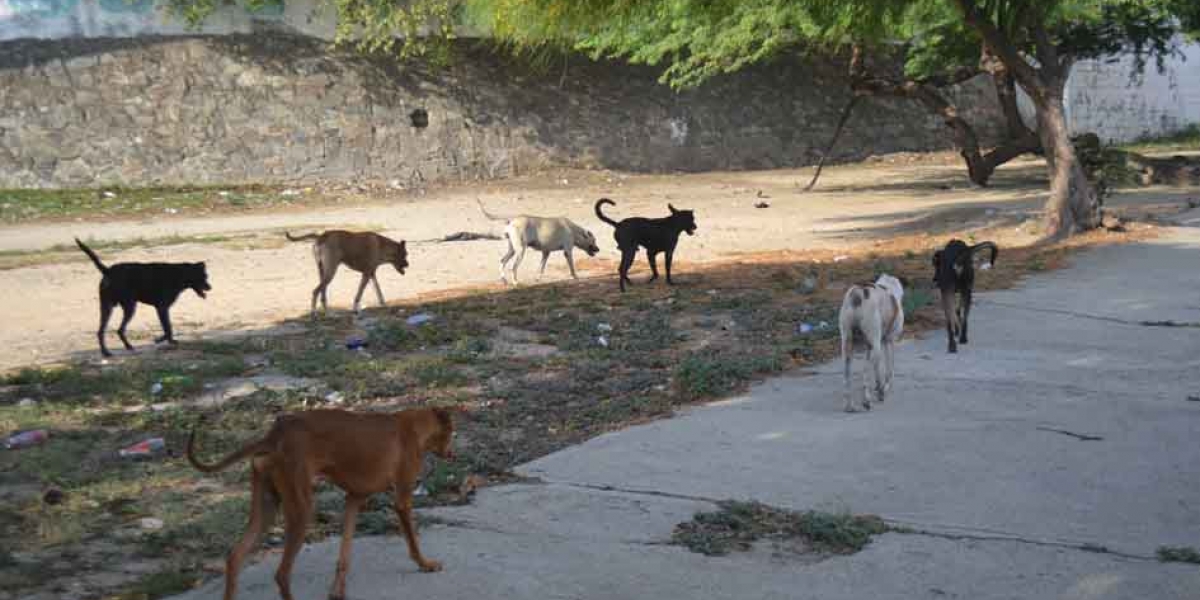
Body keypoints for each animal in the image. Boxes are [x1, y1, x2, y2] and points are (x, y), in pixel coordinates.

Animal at [76, 236, 212, 355]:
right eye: (203, 277)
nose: (210, 287)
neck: (180, 274)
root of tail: (108, 271)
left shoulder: (162, 309)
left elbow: (168, 327)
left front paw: (167, 340)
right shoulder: (162, 308)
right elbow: (168, 328)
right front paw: (162, 340)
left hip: (108, 307)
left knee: (104, 331)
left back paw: (115, 350)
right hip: (129, 307)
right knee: (118, 329)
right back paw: (112, 351)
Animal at [189, 405, 456, 600]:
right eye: (451, 432)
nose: (453, 454)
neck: (412, 426)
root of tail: (275, 433)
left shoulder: (353, 499)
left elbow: (344, 555)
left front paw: (337, 591)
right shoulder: (401, 499)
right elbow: (413, 541)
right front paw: (425, 564)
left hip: (266, 507)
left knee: (235, 557)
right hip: (302, 510)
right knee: (281, 574)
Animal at [840, 274, 902, 412]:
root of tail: (858, 293)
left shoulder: (870, 347)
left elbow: (873, 369)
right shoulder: (889, 341)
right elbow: (889, 369)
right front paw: (883, 388)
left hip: (847, 345)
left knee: (848, 374)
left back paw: (850, 405)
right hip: (876, 344)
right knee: (870, 373)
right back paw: (871, 398)